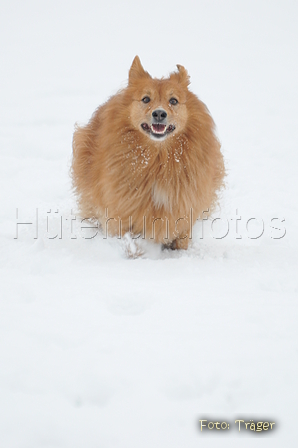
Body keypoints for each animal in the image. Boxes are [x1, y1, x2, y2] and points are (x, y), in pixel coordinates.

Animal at [72, 55, 225, 248]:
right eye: (145, 99)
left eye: (173, 101)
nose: (159, 113)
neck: (158, 158)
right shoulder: (122, 213)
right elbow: (128, 238)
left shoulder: (183, 211)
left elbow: (181, 238)